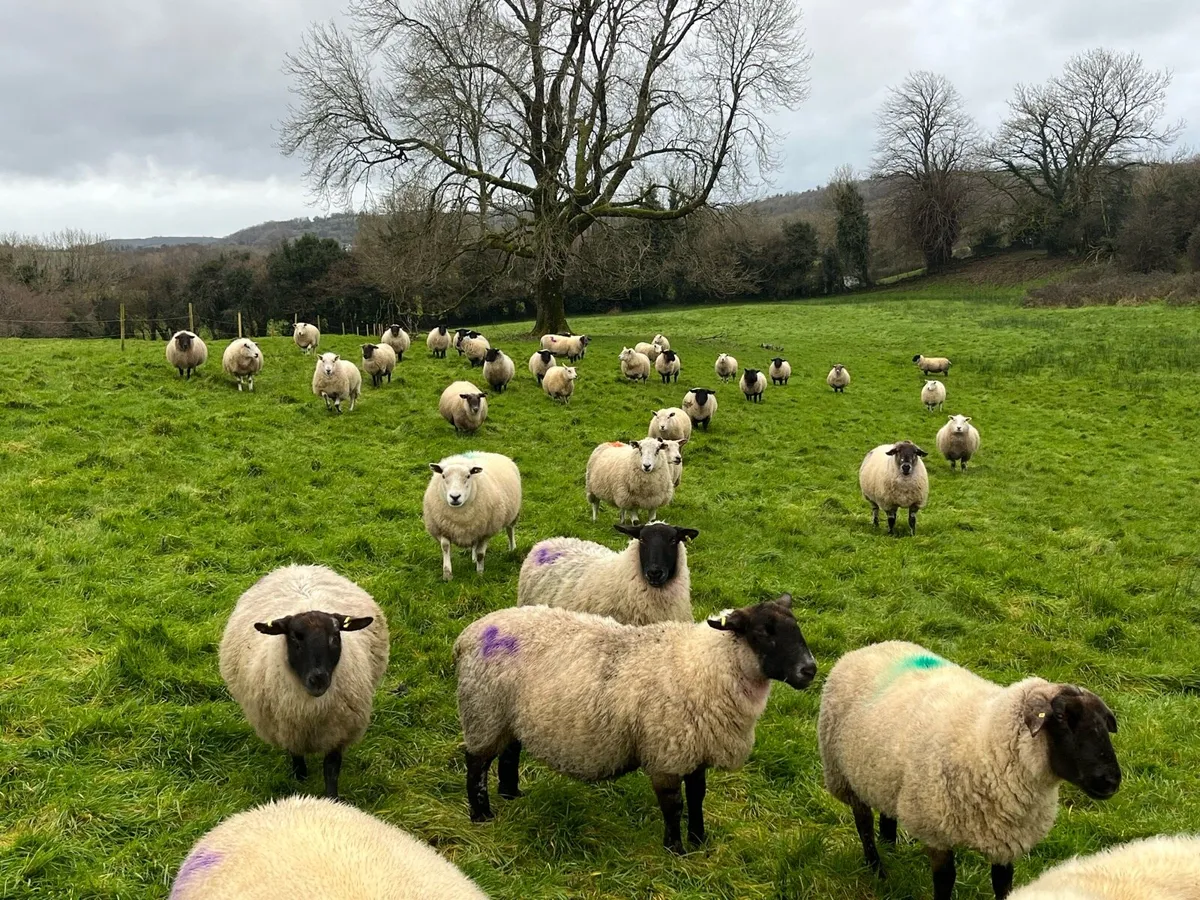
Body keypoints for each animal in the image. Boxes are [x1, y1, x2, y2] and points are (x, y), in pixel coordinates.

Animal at [218, 565, 389, 799]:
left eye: (335, 636)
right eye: (295, 638)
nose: (318, 680)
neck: (311, 710)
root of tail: (296, 566)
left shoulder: (338, 733)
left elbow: (331, 770)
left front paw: (332, 799)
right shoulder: (288, 727)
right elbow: (296, 755)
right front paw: (300, 778)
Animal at [423, 451, 521, 581]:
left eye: (468, 476)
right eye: (443, 476)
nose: (455, 497)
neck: (460, 515)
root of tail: (489, 453)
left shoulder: (485, 532)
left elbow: (481, 554)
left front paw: (479, 575)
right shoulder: (442, 529)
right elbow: (445, 547)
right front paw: (447, 574)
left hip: (513, 513)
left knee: (510, 530)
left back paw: (512, 549)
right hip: (475, 526)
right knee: (475, 542)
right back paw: (473, 559)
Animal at [454, 594, 816, 853]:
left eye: (796, 627)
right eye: (764, 632)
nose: (809, 670)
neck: (704, 665)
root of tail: (469, 634)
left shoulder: (695, 750)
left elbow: (698, 796)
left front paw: (700, 840)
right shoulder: (667, 753)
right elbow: (674, 805)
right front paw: (676, 849)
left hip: (508, 716)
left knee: (509, 753)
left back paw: (511, 793)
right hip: (484, 711)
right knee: (476, 764)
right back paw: (481, 814)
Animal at [818, 640, 1120, 900]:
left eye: (1105, 723)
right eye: (1060, 717)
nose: (1111, 780)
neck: (986, 738)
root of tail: (870, 647)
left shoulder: (1005, 839)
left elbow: (1002, 883)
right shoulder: (936, 830)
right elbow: (945, 880)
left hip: (882, 773)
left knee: (887, 814)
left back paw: (890, 847)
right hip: (844, 774)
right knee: (864, 824)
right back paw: (877, 869)